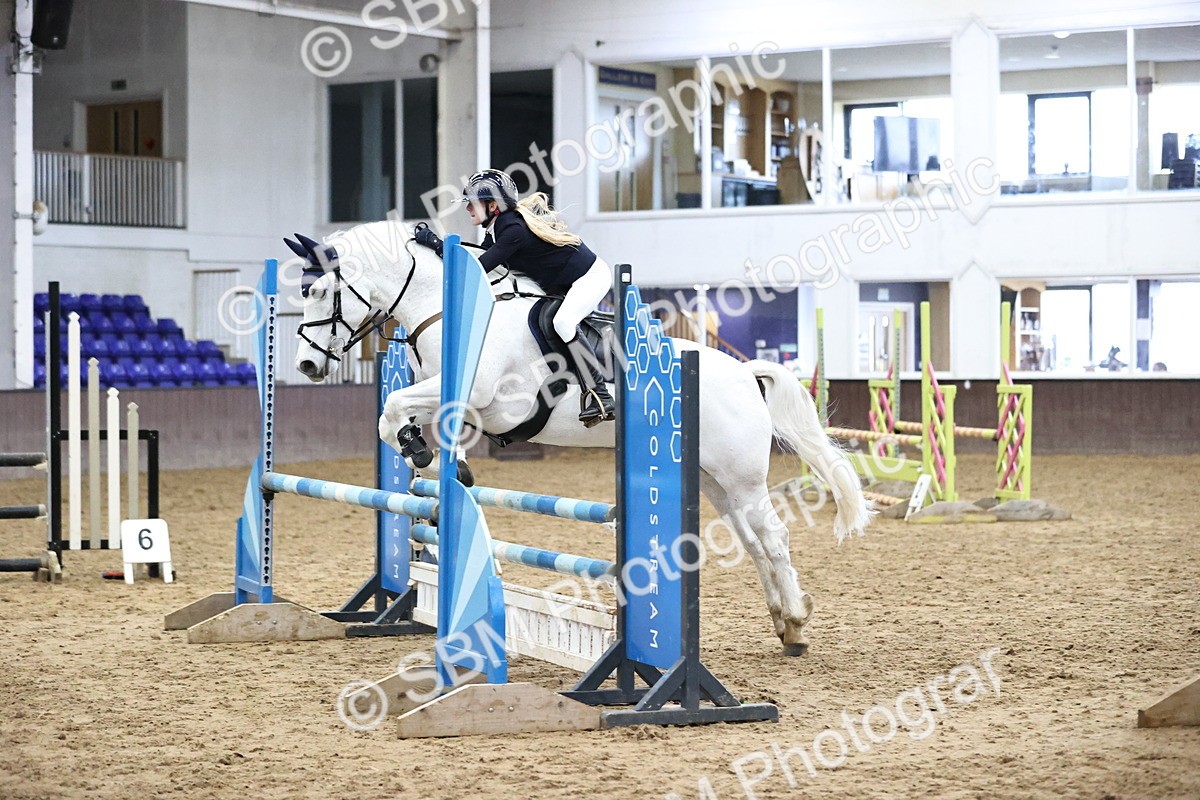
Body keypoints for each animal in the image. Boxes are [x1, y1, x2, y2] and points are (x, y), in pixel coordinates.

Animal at [290, 220, 873, 655]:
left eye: (318, 291)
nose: (306, 365)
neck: (446, 310)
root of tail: (747, 374)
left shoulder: (481, 396)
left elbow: (393, 411)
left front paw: (422, 452)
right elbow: (398, 418)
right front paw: (432, 460)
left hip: (742, 477)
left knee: (773, 537)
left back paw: (796, 623)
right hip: (715, 481)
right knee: (753, 543)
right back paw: (782, 621)